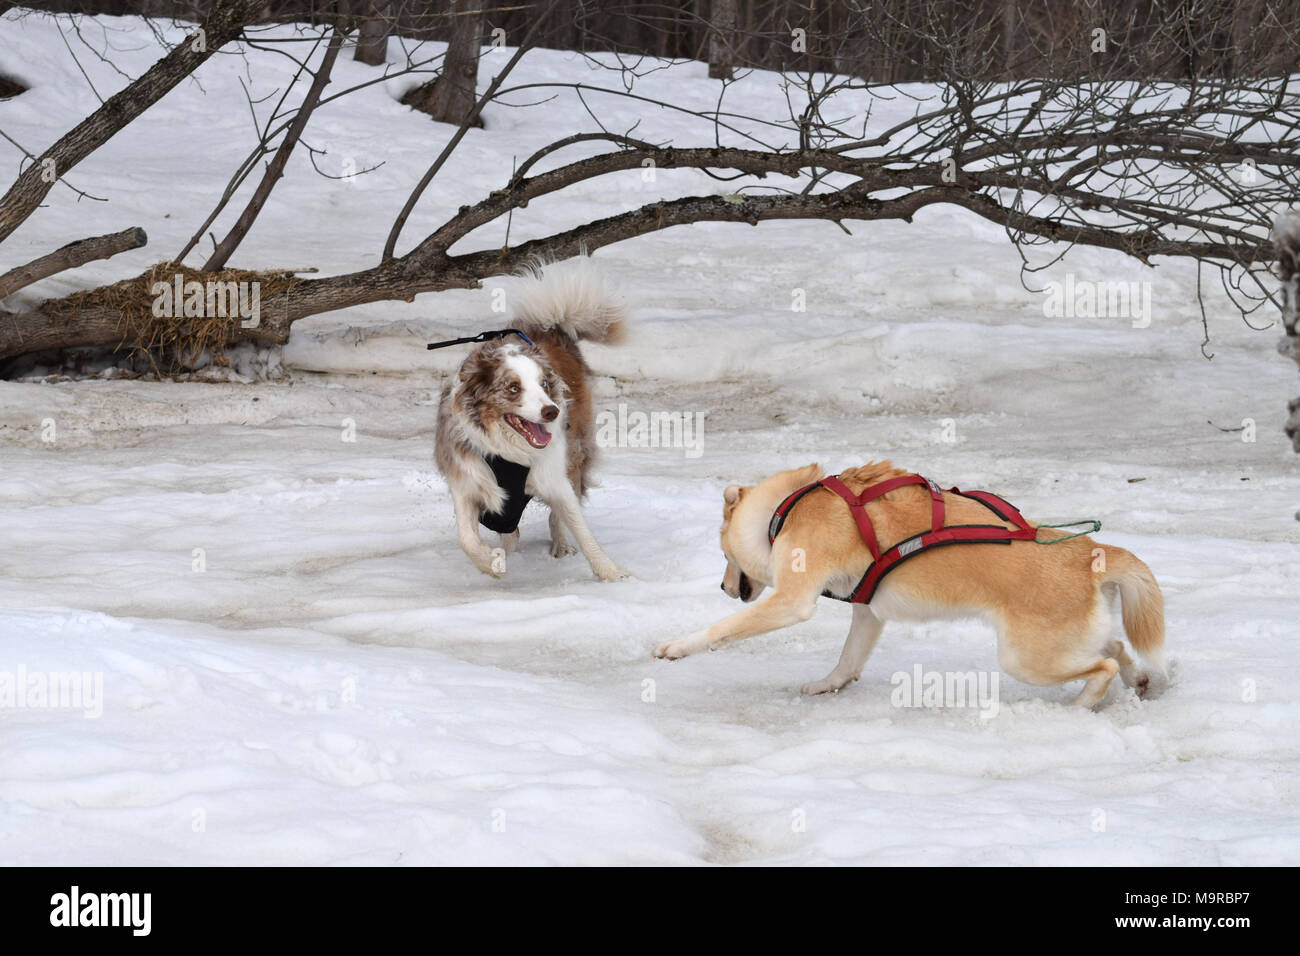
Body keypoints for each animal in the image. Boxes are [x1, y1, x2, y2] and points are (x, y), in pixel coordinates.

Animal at [436, 256, 629, 582]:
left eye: (544, 384)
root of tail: (553, 327)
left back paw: (560, 546)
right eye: (513, 388)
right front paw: (491, 563)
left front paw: (611, 573)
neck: (509, 449)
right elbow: (466, 537)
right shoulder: (467, 479)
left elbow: (580, 527)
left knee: (559, 514)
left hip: (575, 451)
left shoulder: (554, 476)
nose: (552, 411)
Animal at [655, 460, 1175, 707]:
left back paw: (1083, 705)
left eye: (724, 554)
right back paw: (1140, 682)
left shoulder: (791, 601)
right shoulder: (867, 610)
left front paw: (676, 647)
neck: (784, 509)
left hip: (1027, 660)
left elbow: (722, 630)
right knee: (1119, 650)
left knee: (1103, 667)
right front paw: (828, 685)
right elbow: (848, 659)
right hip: (1068, 642)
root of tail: (1089, 553)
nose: (723, 588)